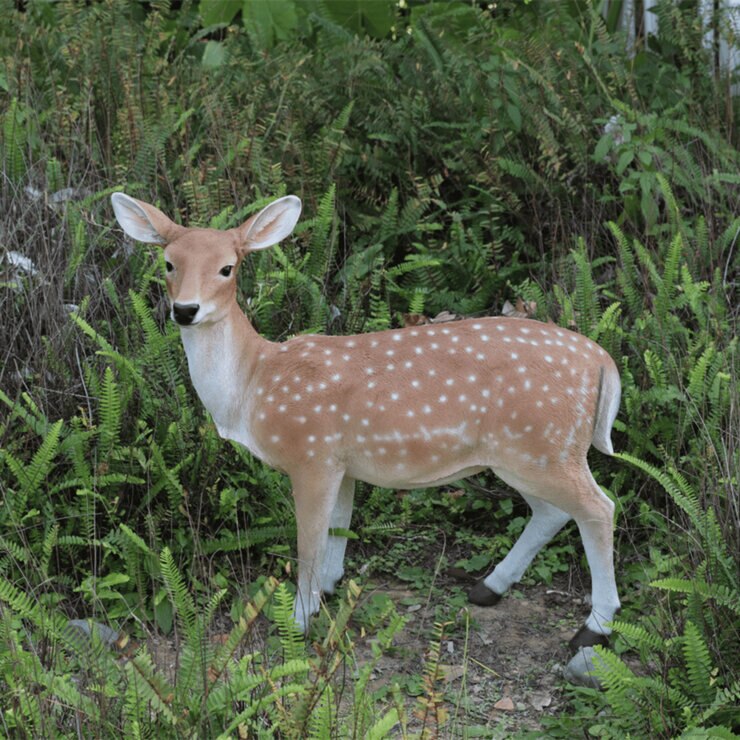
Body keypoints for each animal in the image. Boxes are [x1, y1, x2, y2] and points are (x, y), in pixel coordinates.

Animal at [111, 192, 622, 652]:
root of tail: (604, 363)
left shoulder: (311, 453)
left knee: (599, 508)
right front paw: (328, 590)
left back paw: (594, 629)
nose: (185, 310)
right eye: (168, 263)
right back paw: (488, 588)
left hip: (545, 444)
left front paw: (299, 620)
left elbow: (309, 544)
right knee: (552, 512)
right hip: (524, 452)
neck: (254, 383)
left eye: (227, 268)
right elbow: (338, 529)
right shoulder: (342, 462)